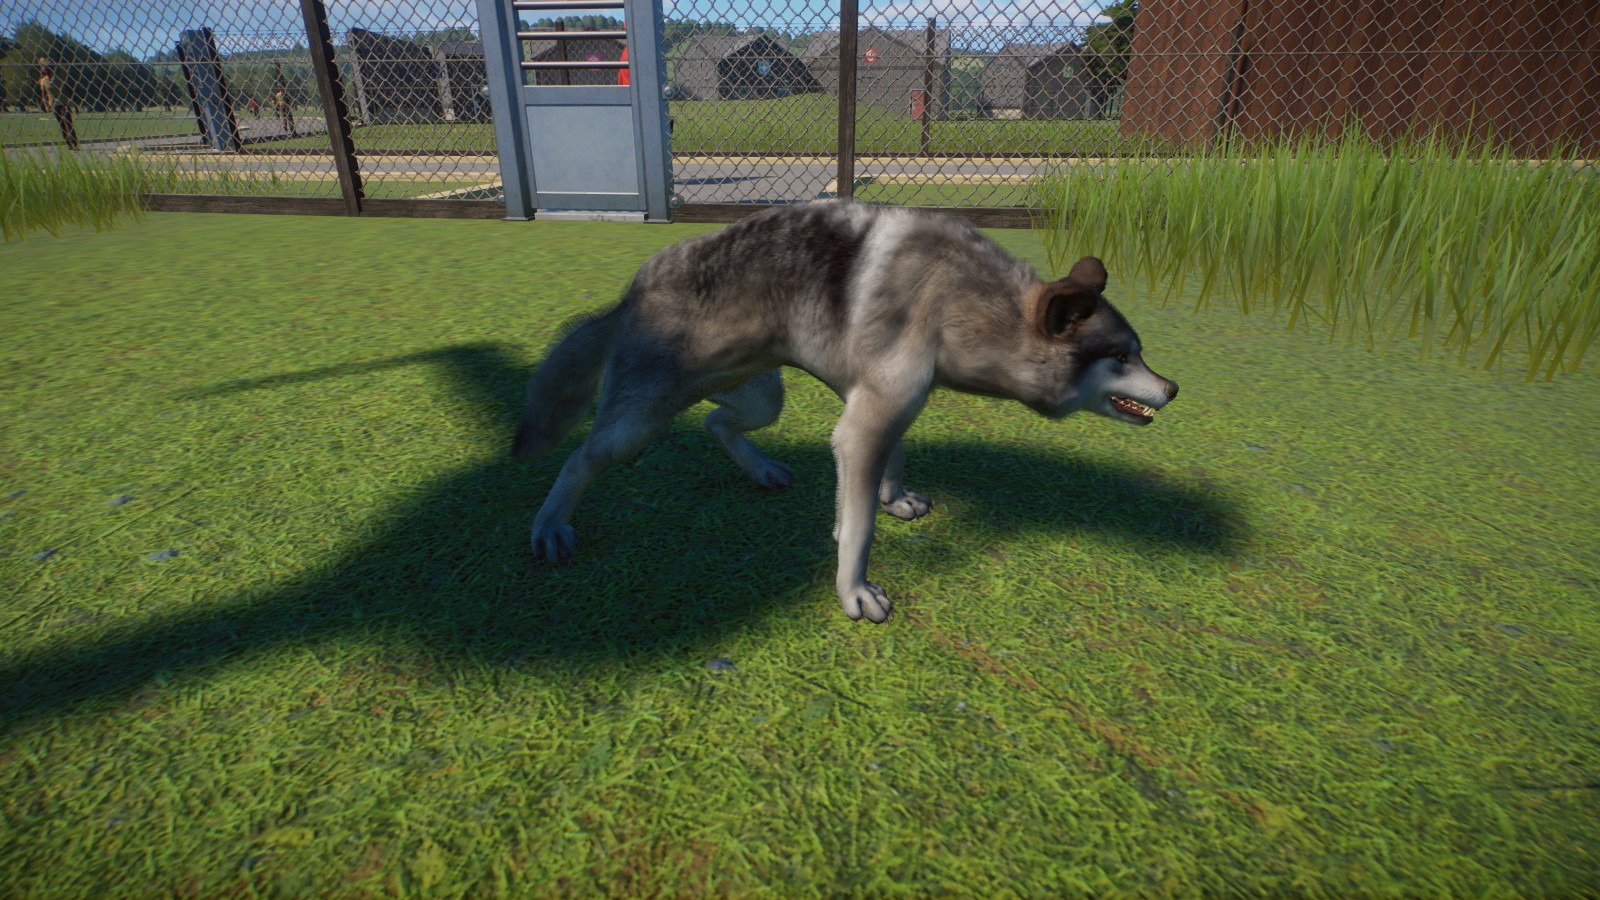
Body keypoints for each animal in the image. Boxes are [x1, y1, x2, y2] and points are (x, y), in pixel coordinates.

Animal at [512, 201, 1178, 623]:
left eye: (1139, 352)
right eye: (1121, 358)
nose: (1172, 388)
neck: (966, 303)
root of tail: (632, 291)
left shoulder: (885, 412)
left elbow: (885, 473)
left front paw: (891, 498)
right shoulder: (864, 426)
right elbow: (860, 530)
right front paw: (854, 591)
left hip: (758, 397)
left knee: (715, 421)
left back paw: (762, 470)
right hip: (638, 422)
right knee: (581, 458)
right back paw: (548, 525)